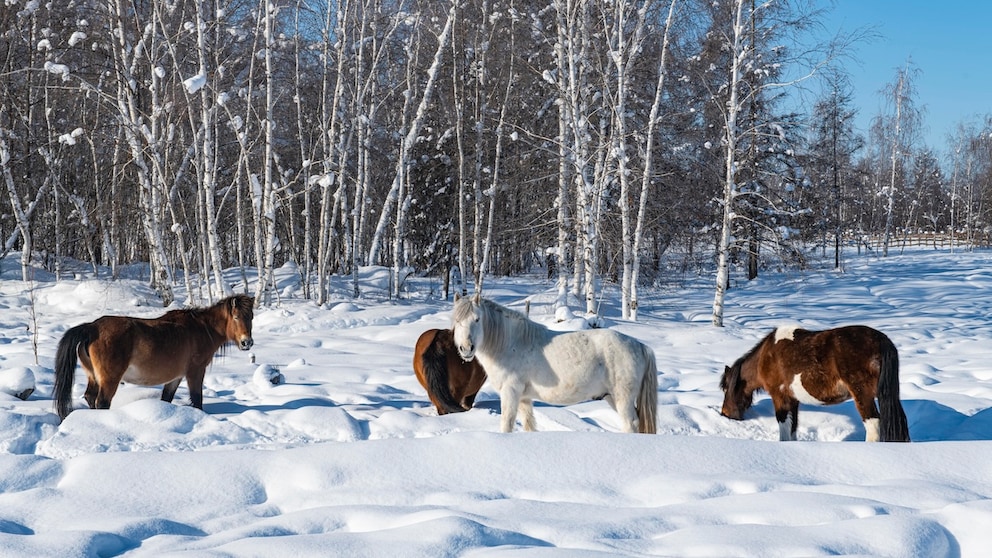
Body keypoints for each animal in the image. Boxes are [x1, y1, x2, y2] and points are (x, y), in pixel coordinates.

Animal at [52, 296, 256, 422]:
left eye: (251, 317)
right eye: (236, 316)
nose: (247, 342)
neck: (202, 328)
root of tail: (92, 327)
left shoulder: (176, 377)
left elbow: (167, 398)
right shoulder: (195, 372)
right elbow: (197, 400)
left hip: (93, 376)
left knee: (89, 397)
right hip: (109, 379)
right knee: (101, 402)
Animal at [452, 296, 660, 436]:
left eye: (477, 319)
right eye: (457, 320)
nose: (466, 348)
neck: (511, 343)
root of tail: (640, 346)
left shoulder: (510, 393)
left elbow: (507, 424)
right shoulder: (524, 398)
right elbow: (529, 424)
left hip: (623, 399)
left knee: (631, 424)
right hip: (612, 398)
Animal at [716, 326, 912, 444]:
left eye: (725, 388)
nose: (724, 413)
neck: (766, 356)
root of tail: (881, 340)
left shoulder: (780, 397)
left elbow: (784, 427)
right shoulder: (793, 400)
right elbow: (793, 428)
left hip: (862, 395)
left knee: (873, 424)